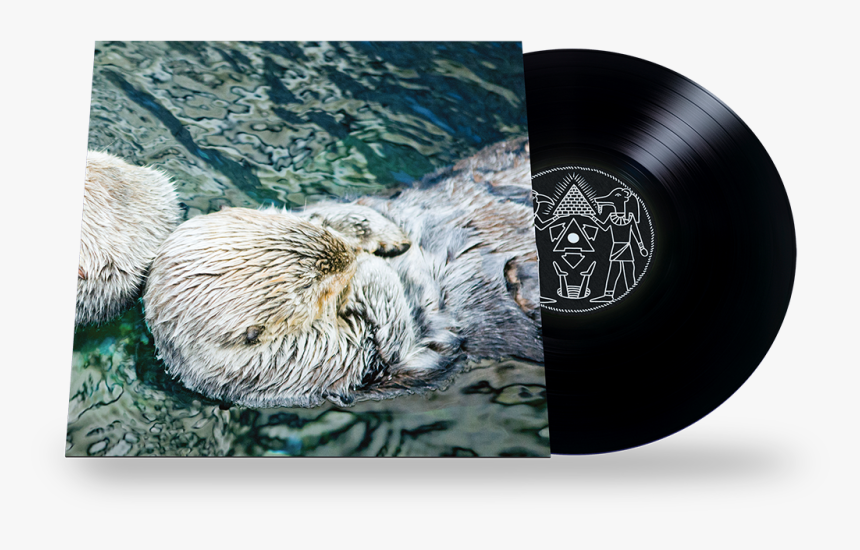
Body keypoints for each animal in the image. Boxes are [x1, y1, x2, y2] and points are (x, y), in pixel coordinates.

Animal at [143, 137, 540, 408]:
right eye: (317, 289)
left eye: (316, 230)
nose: (351, 256)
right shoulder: (319, 363)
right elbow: (392, 338)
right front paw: (370, 271)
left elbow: (339, 209)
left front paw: (382, 236)